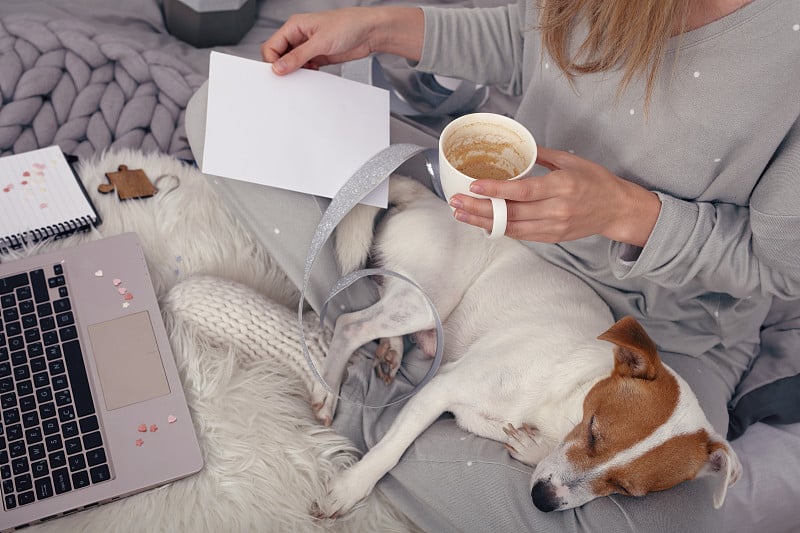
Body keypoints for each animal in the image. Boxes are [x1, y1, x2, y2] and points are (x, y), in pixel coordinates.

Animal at [310, 175, 740, 516]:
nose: (543, 501)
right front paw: (350, 488)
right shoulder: (441, 388)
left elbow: (521, 441)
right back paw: (329, 389)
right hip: (430, 300)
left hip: (417, 301)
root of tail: (430, 200)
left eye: (625, 490)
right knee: (351, 325)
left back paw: (391, 353)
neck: (561, 404)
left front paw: (528, 445)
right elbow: (390, 450)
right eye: (593, 431)